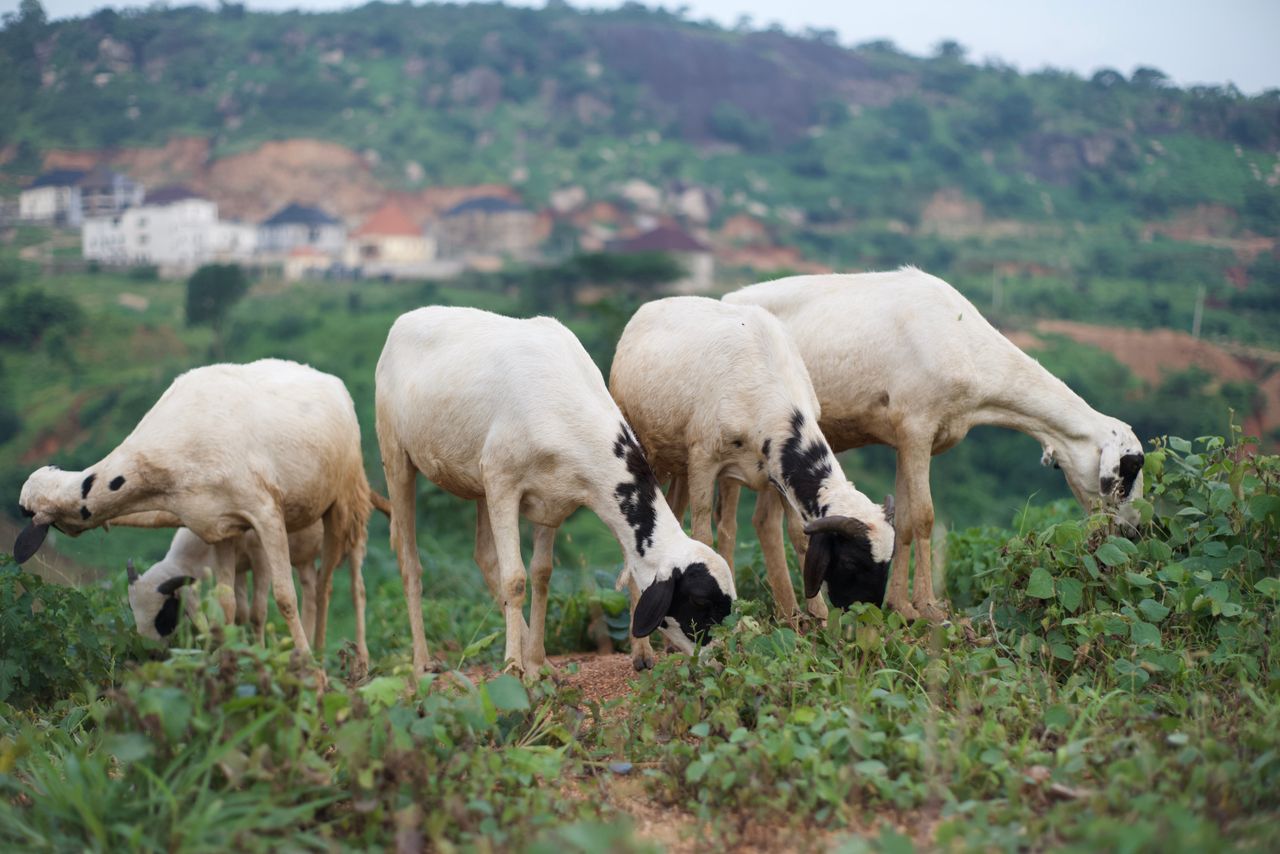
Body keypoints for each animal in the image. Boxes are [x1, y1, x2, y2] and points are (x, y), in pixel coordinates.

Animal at [15, 358, 379, 676]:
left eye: (166, 613)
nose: (148, 655)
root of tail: (327, 379)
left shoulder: (265, 513)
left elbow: (284, 598)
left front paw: (311, 676)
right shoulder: (220, 527)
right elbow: (227, 605)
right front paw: (232, 667)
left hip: (346, 504)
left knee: (341, 584)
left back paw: (343, 660)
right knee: (317, 585)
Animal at [375, 306, 736, 675]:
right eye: (699, 600)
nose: (719, 662)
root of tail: (408, 317)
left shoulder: (551, 500)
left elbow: (541, 575)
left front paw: (537, 665)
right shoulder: (502, 482)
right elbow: (515, 579)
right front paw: (513, 668)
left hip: (477, 480)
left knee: (484, 557)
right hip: (396, 455)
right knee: (410, 563)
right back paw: (422, 662)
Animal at [609, 296, 894, 632]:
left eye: (888, 561)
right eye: (851, 561)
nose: (866, 616)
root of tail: (652, 305)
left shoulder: (777, 473)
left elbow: (798, 535)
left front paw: (818, 618)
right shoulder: (704, 458)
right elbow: (704, 535)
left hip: (680, 461)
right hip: (647, 445)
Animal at [724, 268, 1145, 621]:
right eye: (1127, 473)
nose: (1133, 534)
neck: (967, 347)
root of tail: (730, 298)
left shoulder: (905, 439)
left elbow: (906, 521)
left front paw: (901, 606)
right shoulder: (917, 427)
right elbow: (925, 515)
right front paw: (927, 606)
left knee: (761, 522)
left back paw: (789, 612)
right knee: (756, 523)